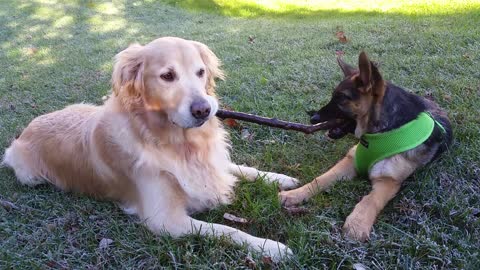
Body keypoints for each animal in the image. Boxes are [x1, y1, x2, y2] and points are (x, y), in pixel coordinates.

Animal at [280, 52, 452, 240]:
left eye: (341, 99)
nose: (313, 119)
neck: (377, 134)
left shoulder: (388, 181)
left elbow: (370, 200)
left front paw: (357, 223)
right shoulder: (350, 161)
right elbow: (320, 179)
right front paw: (294, 194)